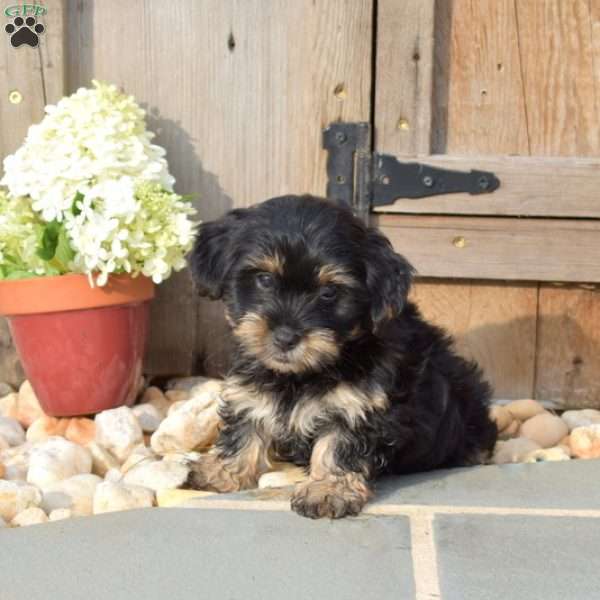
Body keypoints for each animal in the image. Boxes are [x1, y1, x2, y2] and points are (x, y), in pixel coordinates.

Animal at [188, 195, 496, 516]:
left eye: (329, 293)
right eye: (264, 279)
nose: (285, 337)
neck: (305, 373)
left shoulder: (358, 405)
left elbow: (338, 445)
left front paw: (327, 490)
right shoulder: (252, 387)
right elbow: (246, 425)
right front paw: (224, 471)